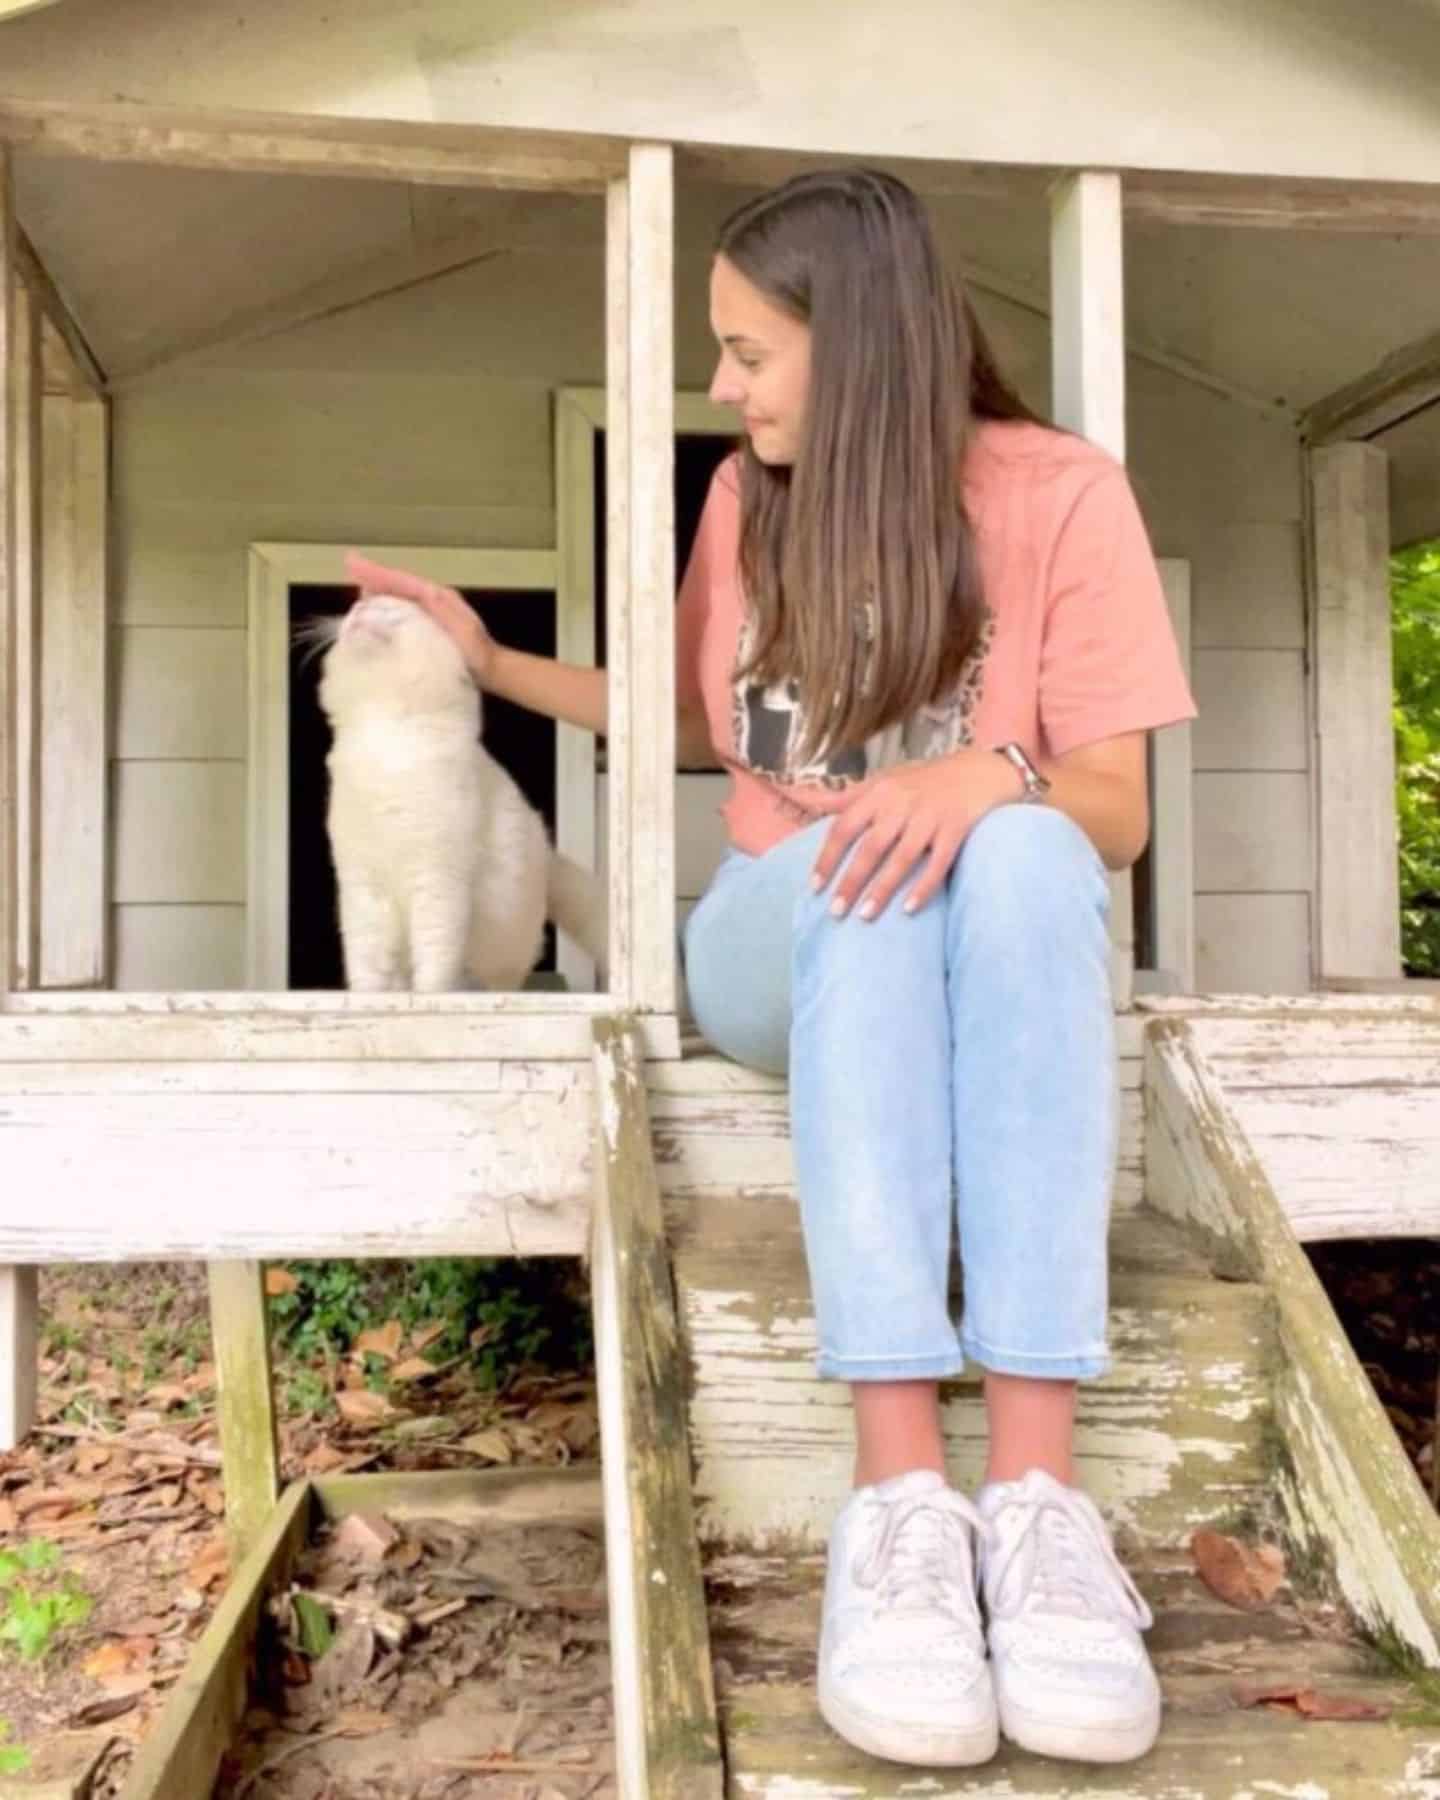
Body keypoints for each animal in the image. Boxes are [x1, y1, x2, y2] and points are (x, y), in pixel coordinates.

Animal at [315, 601, 608, 1000]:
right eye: (355, 608)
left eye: (392, 607)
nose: (361, 607)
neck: (386, 737)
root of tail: (548, 855)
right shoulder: (362, 886)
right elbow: (366, 964)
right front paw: (367, 1000)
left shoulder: (438, 878)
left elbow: (434, 963)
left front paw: (429, 1000)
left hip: (505, 947)